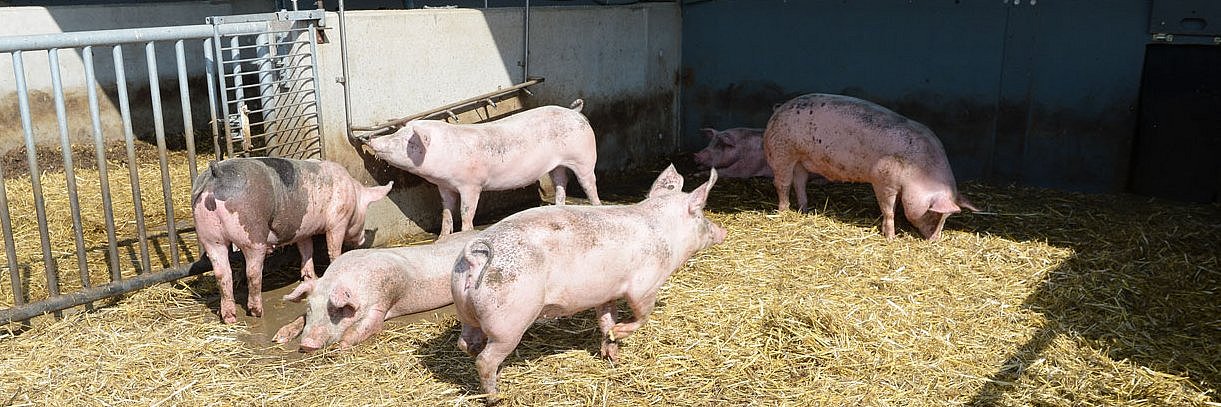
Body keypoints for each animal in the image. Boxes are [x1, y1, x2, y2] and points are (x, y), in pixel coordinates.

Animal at [190, 155, 390, 322]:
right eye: (366, 210)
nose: (362, 240)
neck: (353, 194)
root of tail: (217, 173)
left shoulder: (303, 231)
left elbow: (306, 250)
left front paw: (310, 277)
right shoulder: (338, 222)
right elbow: (333, 249)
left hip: (209, 236)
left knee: (222, 273)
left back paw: (229, 317)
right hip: (251, 234)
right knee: (252, 272)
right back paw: (257, 312)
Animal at [272, 229, 476, 349]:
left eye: (336, 310)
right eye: (310, 307)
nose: (307, 344)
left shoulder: (384, 298)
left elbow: (370, 325)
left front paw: (340, 346)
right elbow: (301, 318)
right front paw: (279, 337)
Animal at [363, 97, 603, 234]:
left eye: (409, 141)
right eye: (398, 132)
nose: (372, 140)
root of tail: (574, 112)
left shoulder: (471, 185)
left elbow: (466, 211)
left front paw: (466, 232)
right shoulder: (444, 186)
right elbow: (446, 212)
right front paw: (441, 238)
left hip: (584, 157)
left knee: (589, 183)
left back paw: (597, 206)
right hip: (556, 166)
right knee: (561, 183)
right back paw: (557, 208)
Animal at [454, 163, 727, 398]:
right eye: (702, 216)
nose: (723, 231)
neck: (667, 234)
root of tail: (475, 258)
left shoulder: (606, 293)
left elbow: (606, 320)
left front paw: (612, 354)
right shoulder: (644, 286)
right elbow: (642, 316)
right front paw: (619, 334)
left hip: (466, 309)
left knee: (465, 343)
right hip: (509, 322)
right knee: (485, 359)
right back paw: (495, 395)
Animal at [757, 92, 976, 238]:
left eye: (947, 219)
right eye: (934, 214)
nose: (934, 240)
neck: (920, 173)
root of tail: (779, 107)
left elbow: (895, 205)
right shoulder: (882, 177)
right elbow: (888, 209)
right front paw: (890, 237)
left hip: (801, 158)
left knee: (800, 181)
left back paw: (805, 210)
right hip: (782, 150)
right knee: (782, 184)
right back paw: (783, 211)